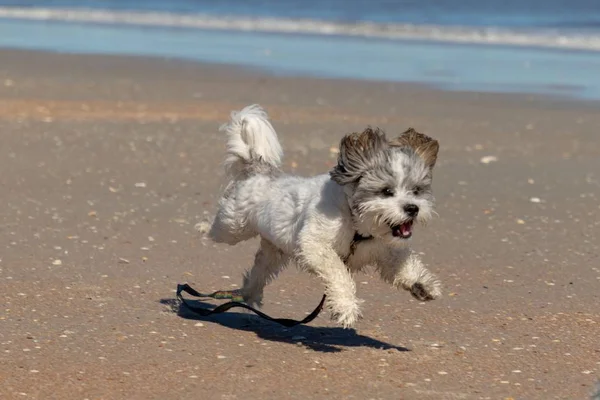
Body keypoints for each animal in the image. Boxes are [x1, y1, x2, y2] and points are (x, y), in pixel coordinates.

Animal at [210, 104, 440, 326]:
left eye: (416, 191)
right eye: (387, 191)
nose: (412, 208)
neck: (355, 224)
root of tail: (259, 168)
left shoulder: (384, 249)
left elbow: (401, 264)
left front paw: (421, 283)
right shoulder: (316, 245)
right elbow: (338, 272)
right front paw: (346, 306)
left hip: (272, 251)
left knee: (257, 274)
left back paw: (248, 296)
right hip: (233, 225)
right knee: (220, 229)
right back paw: (205, 229)